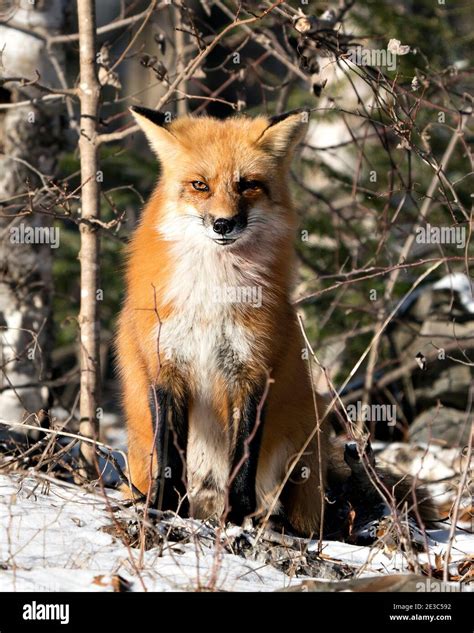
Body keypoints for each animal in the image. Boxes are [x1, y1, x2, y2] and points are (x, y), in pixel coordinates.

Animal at [116, 107, 432, 532]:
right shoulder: (164, 367)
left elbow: (243, 459)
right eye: (200, 185)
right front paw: (164, 508)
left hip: (303, 449)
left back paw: (275, 522)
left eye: (248, 185)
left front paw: (237, 517)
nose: (222, 224)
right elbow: (169, 456)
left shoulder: (253, 370)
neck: (214, 292)